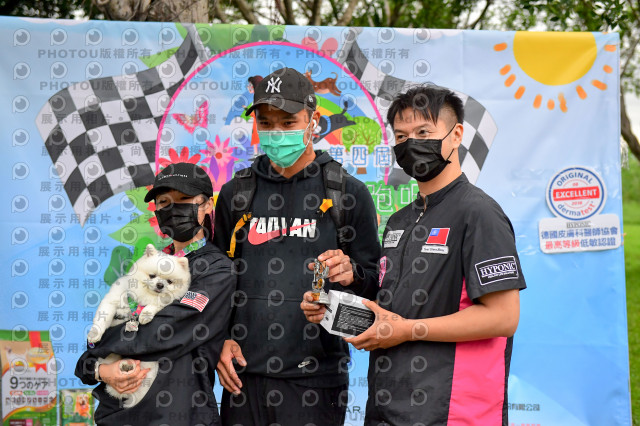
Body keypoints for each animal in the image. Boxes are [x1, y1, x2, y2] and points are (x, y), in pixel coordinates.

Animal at [87, 244, 191, 408]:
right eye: (152, 276)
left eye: (169, 281)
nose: (160, 285)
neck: (147, 294)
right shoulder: (115, 298)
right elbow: (104, 316)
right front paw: (94, 334)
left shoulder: (166, 300)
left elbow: (157, 304)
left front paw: (145, 314)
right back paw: (125, 366)